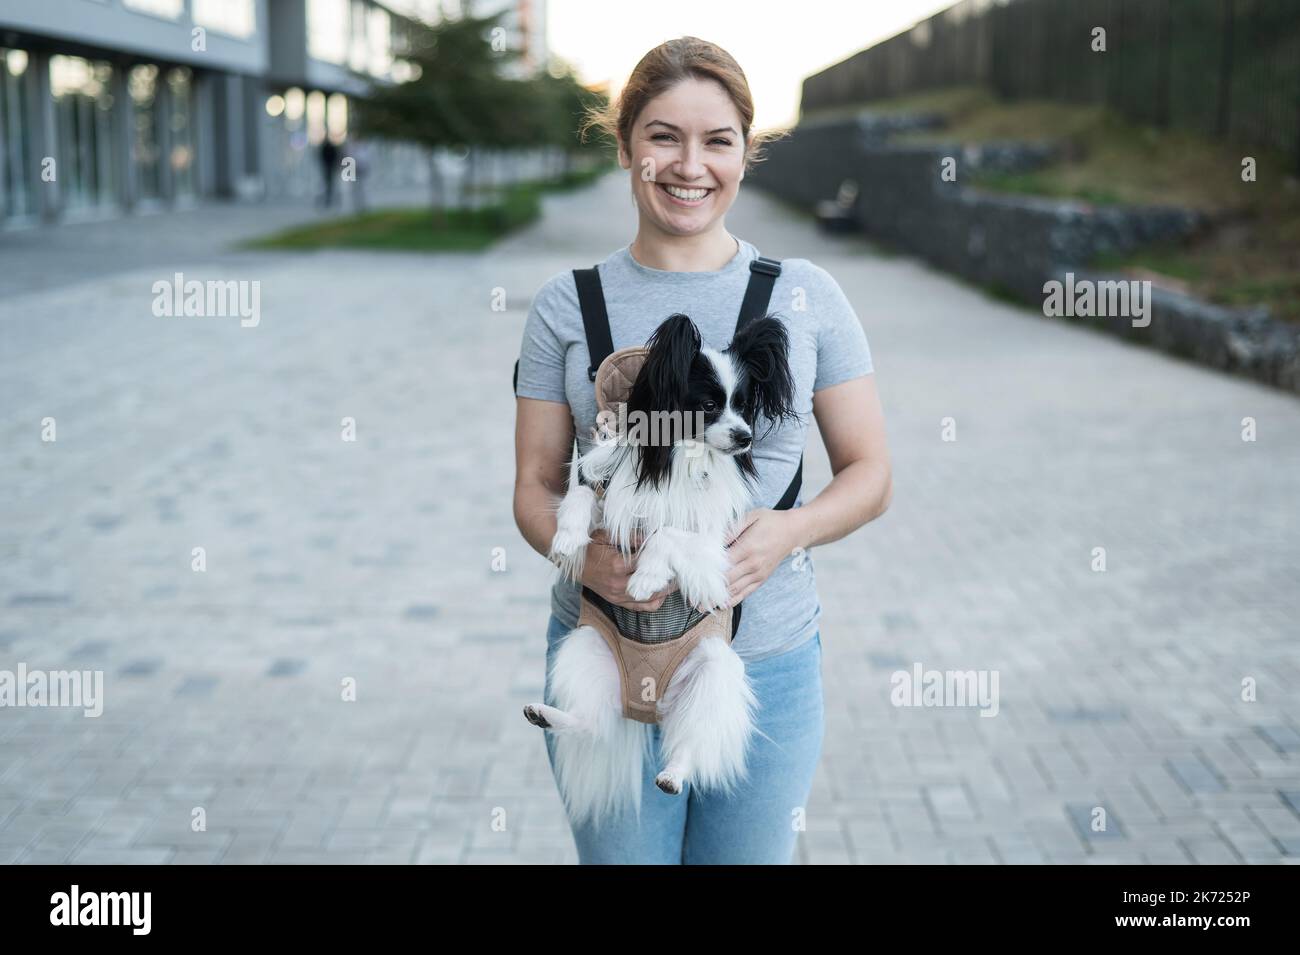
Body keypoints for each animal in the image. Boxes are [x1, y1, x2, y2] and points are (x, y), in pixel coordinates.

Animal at [522, 315, 795, 831]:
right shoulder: (610, 495)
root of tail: (650, 707)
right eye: (709, 406)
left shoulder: (713, 548)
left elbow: (668, 533)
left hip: (713, 673)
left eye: (744, 405)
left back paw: (673, 774)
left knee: (691, 740)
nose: (746, 437)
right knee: (594, 723)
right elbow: (583, 496)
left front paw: (646, 578)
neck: (682, 460)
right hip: (586, 650)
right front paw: (567, 540)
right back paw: (546, 715)